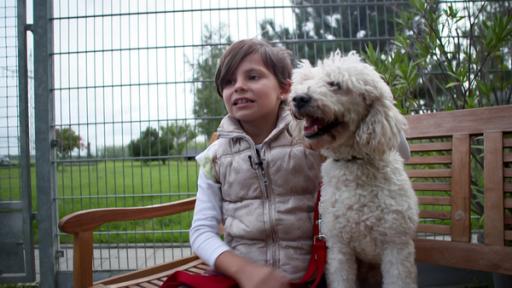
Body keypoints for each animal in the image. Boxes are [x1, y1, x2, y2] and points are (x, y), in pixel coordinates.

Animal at [290, 52, 418, 288]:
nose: (298, 99)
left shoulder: (396, 245)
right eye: (305, 81)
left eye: (335, 84)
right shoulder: (339, 248)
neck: (354, 162)